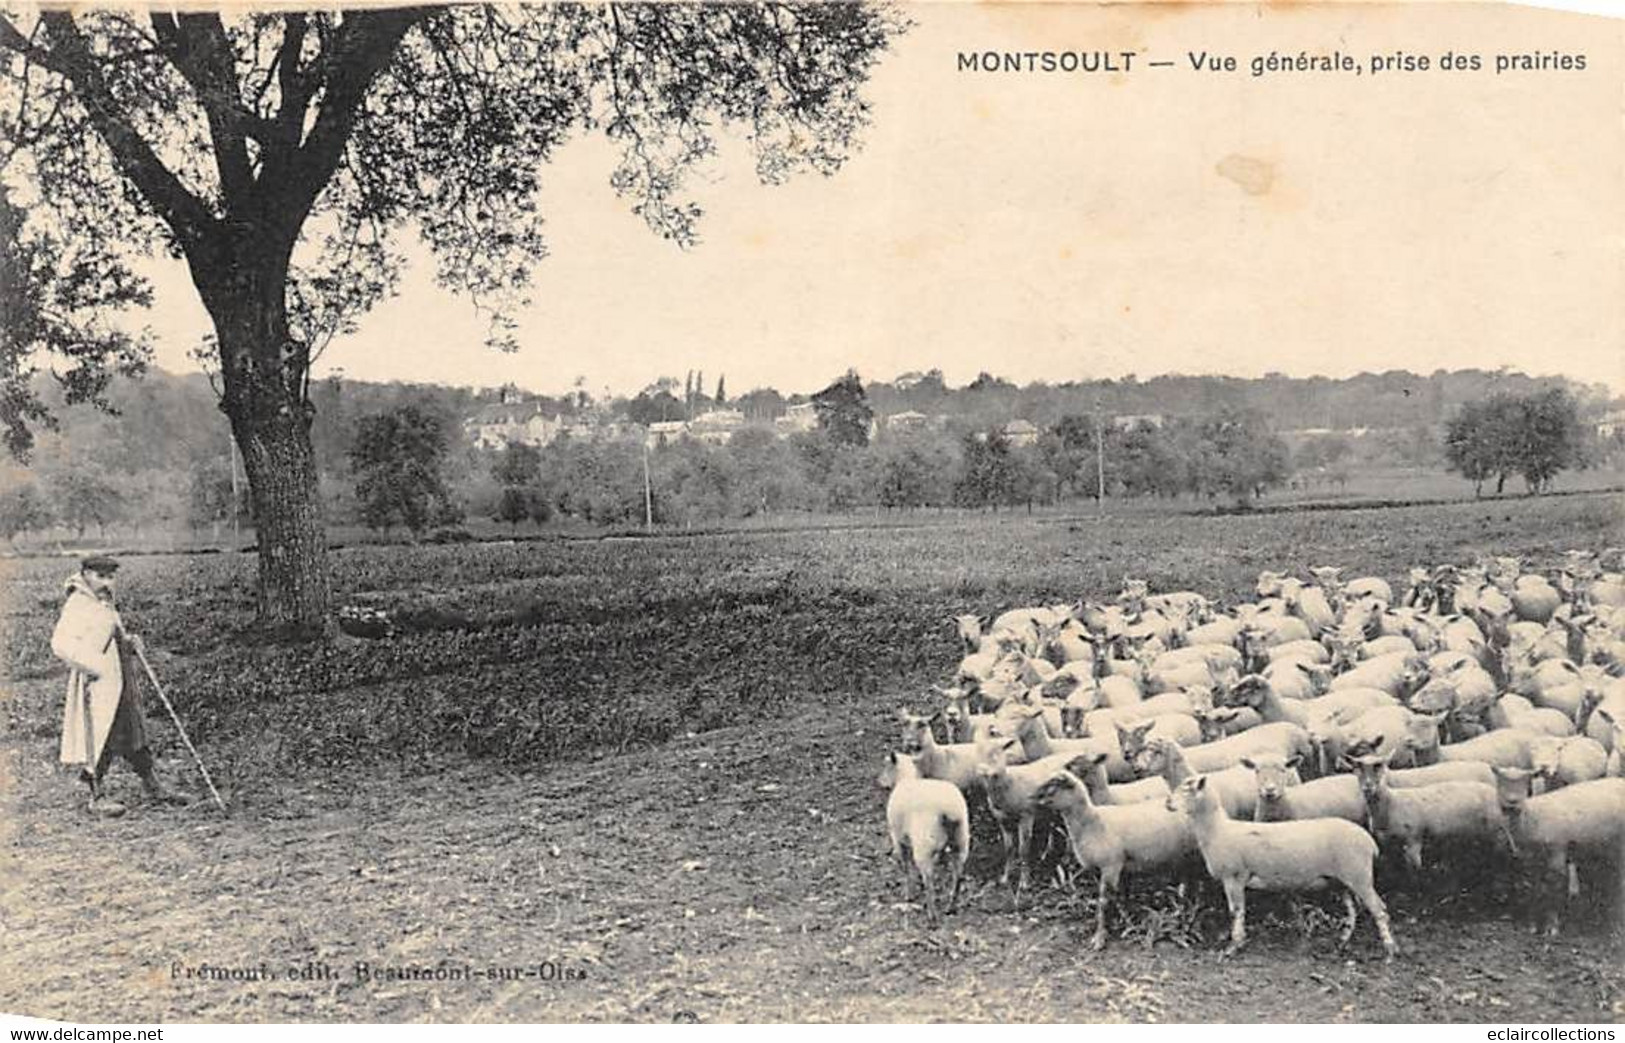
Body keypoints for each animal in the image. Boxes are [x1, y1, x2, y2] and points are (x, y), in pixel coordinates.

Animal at [884, 747, 968, 922]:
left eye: (886, 765)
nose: (879, 782)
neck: (905, 779)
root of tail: (950, 811)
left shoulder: (898, 838)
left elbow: (905, 867)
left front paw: (909, 894)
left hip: (924, 845)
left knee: (928, 879)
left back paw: (932, 914)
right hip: (960, 842)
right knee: (958, 875)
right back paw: (950, 907)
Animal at [1027, 763, 1196, 942]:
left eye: (1052, 786)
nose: (1030, 796)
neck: (1092, 822)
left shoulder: (1111, 866)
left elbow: (1104, 901)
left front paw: (1100, 936)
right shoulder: (1102, 869)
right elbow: (1117, 897)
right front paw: (1125, 921)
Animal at [1170, 766, 1397, 955]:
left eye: (1187, 790)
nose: (1167, 803)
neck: (1217, 830)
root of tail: (1369, 841)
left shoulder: (1234, 876)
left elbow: (1236, 912)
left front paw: (1233, 946)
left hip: (1359, 876)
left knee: (1380, 910)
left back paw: (1390, 949)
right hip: (1341, 880)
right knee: (1352, 911)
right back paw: (1341, 942)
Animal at [1345, 747, 1508, 870]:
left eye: (1379, 766)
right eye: (1357, 768)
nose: (1368, 787)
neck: (1392, 803)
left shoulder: (1413, 838)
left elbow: (1415, 871)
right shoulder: (1386, 843)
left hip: (1496, 828)